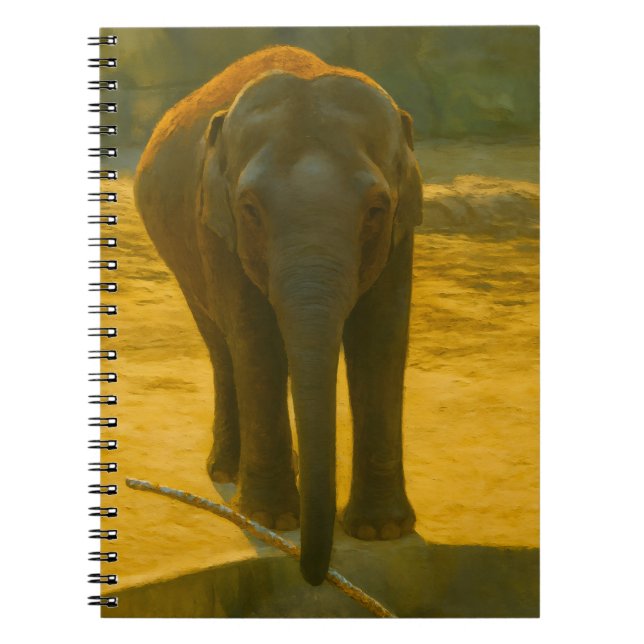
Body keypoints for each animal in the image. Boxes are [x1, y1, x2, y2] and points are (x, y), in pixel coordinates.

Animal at [134, 45, 423, 586]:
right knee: (221, 344)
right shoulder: (216, 223)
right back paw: (227, 472)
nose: (314, 576)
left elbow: (380, 339)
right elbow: (256, 340)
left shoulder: (402, 228)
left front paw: (381, 531)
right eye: (250, 209)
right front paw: (271, 518)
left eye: (376, 209)